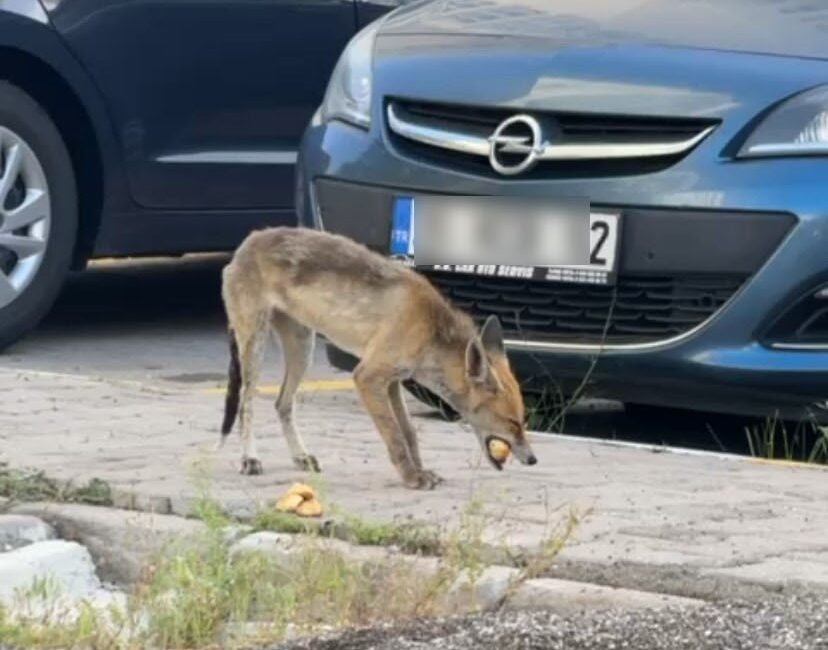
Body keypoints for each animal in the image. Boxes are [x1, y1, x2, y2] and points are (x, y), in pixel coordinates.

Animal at [220, 227, 536, 486]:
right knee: (246, 406)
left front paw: (421, 470)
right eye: (511, 422)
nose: (534, 459)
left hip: (302, 350)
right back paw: (249, 459)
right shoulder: (368, 376)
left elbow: (408, 433)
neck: (429, 328)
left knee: (282, 404)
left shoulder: (393, 381)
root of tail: (248, 240)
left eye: (523, 420)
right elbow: (395, 437)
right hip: (255, 346)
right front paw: (412, 479)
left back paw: (300, 456)